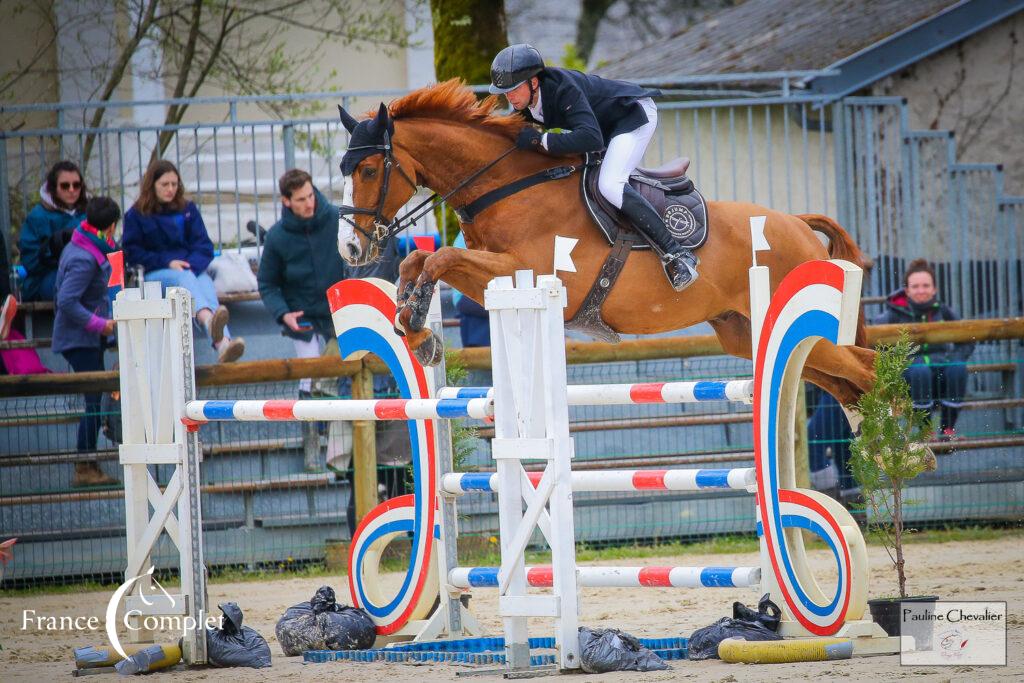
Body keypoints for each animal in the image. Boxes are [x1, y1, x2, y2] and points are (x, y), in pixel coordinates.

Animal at [335, 82, 872, 419]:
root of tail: (797, 223)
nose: (350, 249)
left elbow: (440, 258)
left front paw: (419, 328)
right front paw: (414, 322)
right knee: (843, 382)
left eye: (367, 170)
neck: (510, 187)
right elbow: (419, 259)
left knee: (863, 366)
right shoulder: (494, 274)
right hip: (746, 332)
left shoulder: (532, 273)